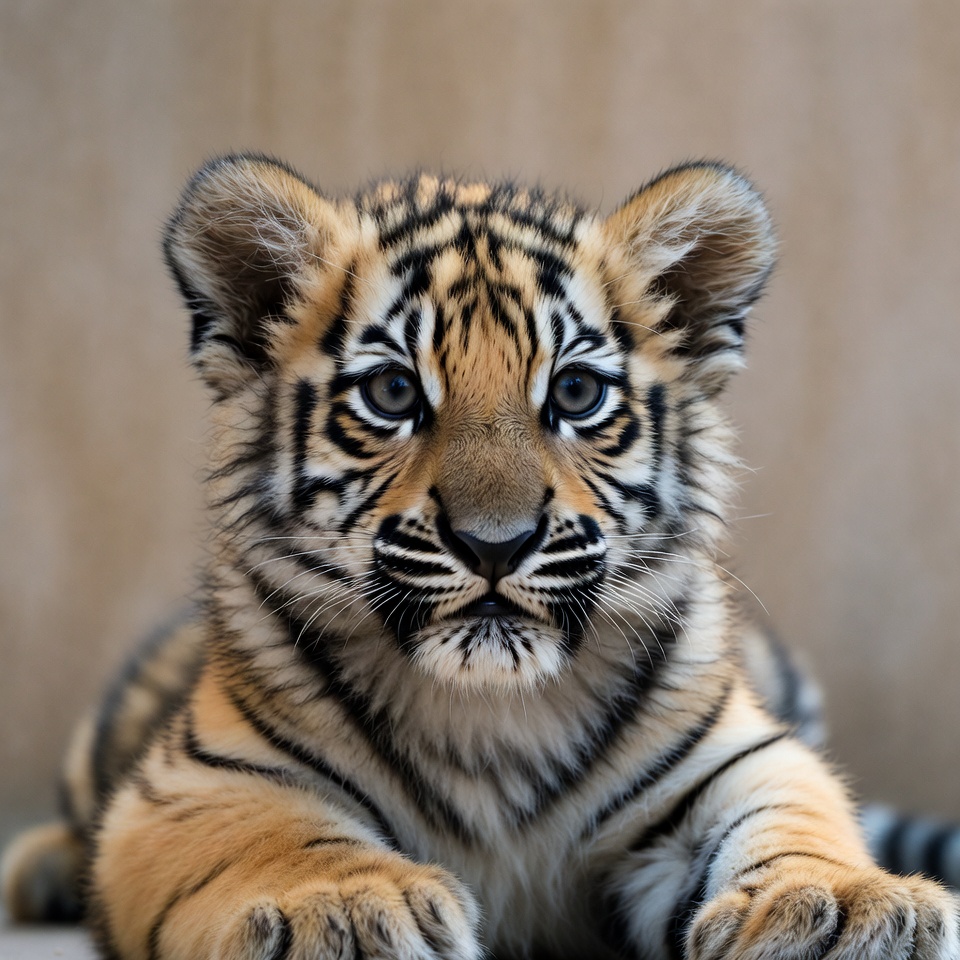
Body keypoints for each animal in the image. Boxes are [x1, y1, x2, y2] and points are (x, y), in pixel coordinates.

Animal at [3, 155, 959, 959]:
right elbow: (282, 838)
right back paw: (44, 871)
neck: (493, 712)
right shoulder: (200, 781)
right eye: (393, 393)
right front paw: (343, 908)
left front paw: (847, 907)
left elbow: (795, 824)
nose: (495, 543)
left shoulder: (740, 759)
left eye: (576, 391)